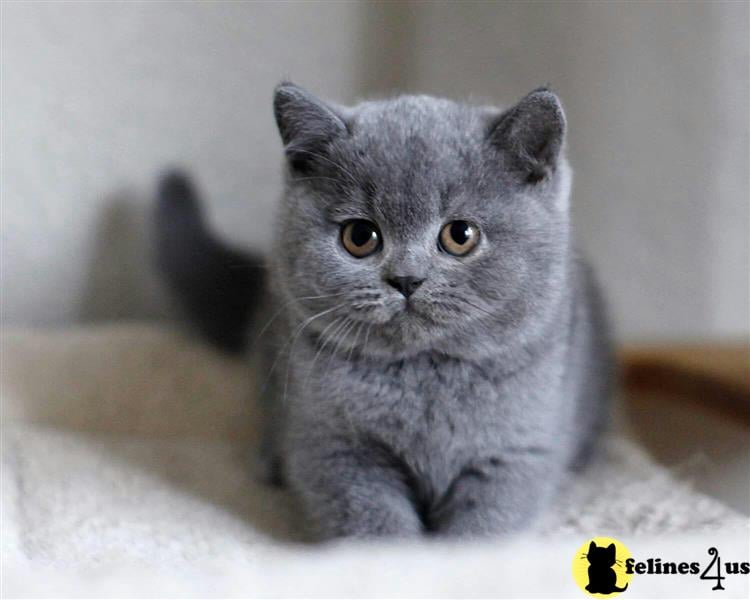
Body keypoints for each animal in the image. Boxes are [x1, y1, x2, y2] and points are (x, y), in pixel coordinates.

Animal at [154, 81, 616, 540]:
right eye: (360, 236)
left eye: (460, 235)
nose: (406, 279)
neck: (424, 374)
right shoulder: (335, 448)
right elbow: (371, 523)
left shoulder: (515, 454)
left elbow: (482, 529)